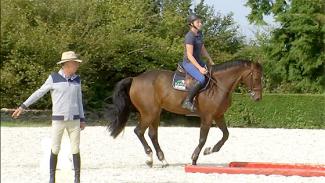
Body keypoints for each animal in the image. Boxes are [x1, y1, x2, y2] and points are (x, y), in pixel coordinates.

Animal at [107, 60, 262, 167]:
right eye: (256, 78)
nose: (258, 98)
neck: (218, 86)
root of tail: (135, 79)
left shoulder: (218, 116)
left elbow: (226, 135)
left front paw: (211, 150)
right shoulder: (208, 117)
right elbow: (202, 138)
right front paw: (194, 158)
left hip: (155, 113)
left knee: (152, 134)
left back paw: (163, 160)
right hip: (149, 113)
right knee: (139, 131)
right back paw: (149, 158)